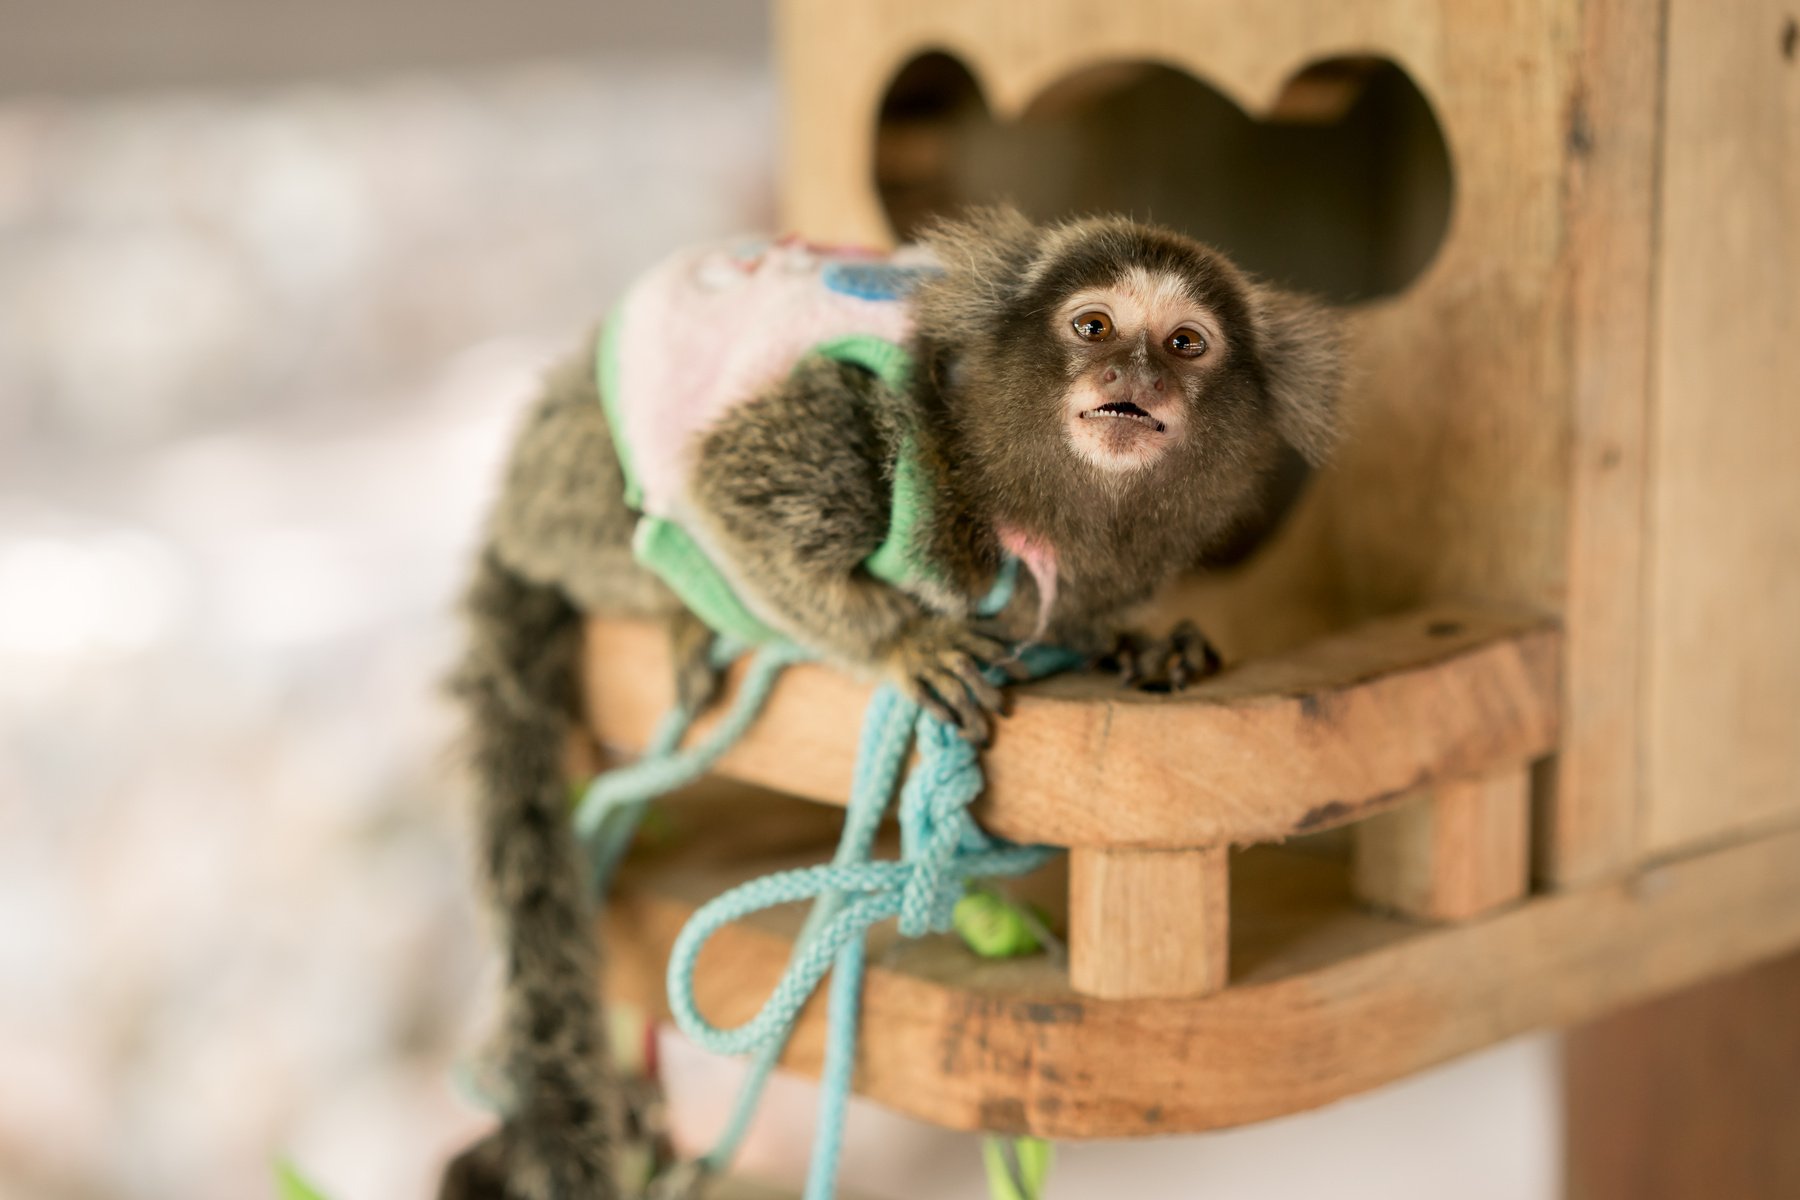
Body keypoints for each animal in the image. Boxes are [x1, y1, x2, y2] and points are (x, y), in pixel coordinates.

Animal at [439, 211, 1339, 1194]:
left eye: (1185, 344)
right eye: (1094, 327)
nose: (1134, 380)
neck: (1024, 510)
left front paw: (1136, 642)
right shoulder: (857, 430)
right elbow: (732, 491)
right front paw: (905, 644)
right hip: (581, 487)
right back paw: (684, 610)